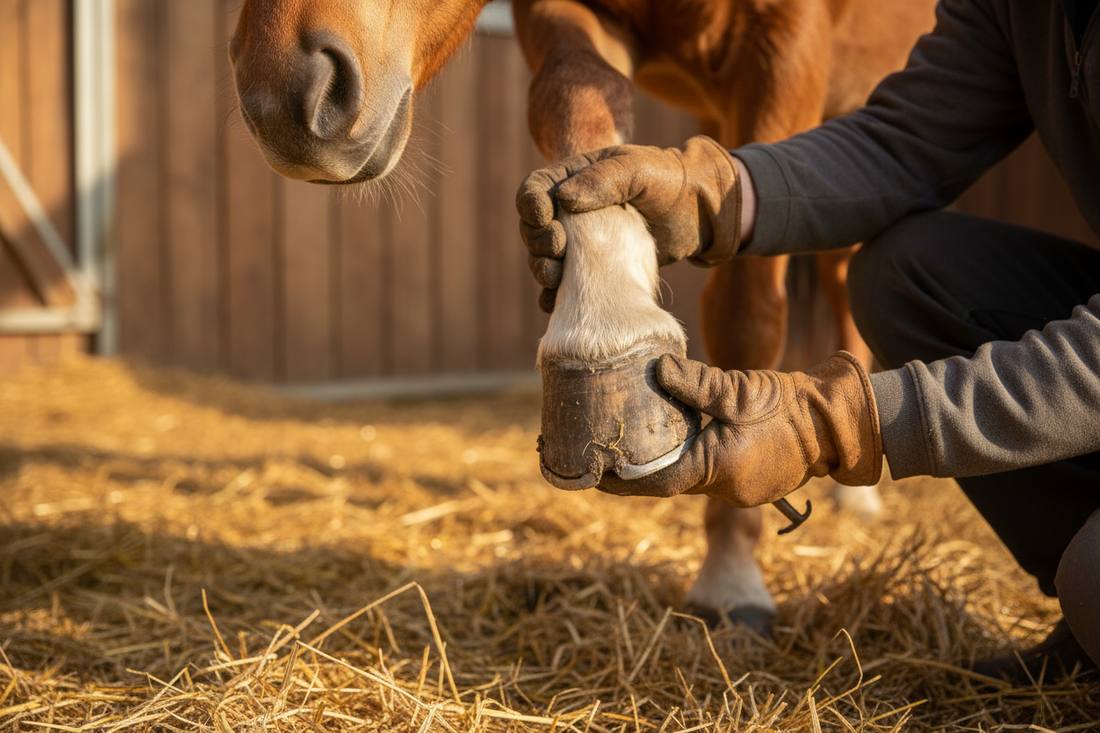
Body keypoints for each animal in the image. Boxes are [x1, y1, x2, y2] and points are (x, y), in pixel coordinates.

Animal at [228, 0, 937, 631]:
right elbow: (578, 99)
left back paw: (858, 487)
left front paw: (732, 575)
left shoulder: (787, 50)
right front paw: (605, 318)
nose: (279, 100)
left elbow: (747, 309)